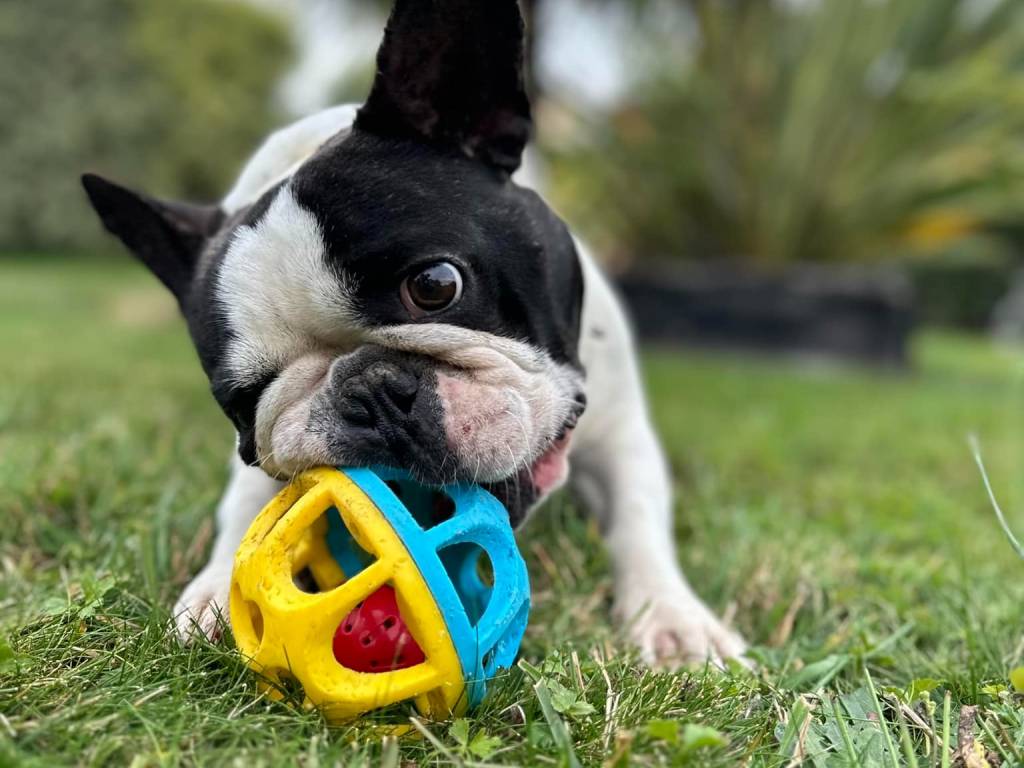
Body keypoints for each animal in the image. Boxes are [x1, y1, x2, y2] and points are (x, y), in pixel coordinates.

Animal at [82, 0, 745, 667]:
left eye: (435, 286)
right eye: (242, 399)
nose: (369, 391)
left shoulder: (622, 432)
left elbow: (638, 515)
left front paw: (675, 619)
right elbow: (246, 504)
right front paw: (219, 589)